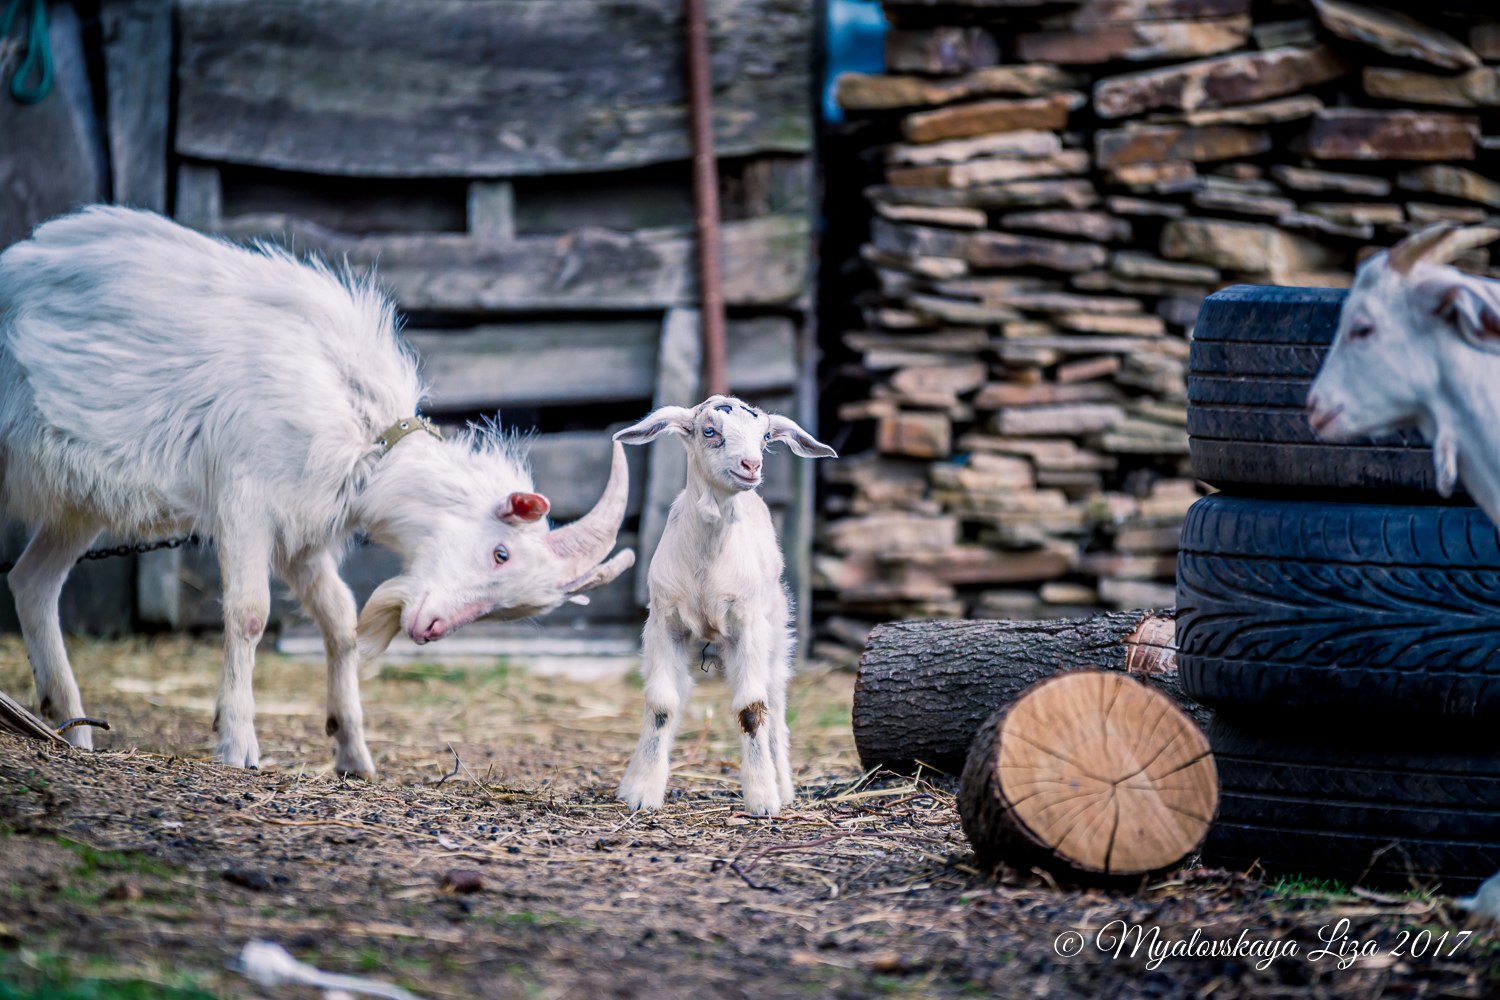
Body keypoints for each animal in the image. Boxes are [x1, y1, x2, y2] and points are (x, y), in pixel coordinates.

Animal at [0, 206, 634, 775]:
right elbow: (250, 614)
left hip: (77, 501)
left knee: (32, 582)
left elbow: (340, 618)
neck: (367, 430)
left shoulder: (302, 529)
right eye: (500, 552)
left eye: (509, 608)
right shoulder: (246, 499)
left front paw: (353, 752)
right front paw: (237, 744)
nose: (428, 631)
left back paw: (70, 728)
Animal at [612, 395, 836, 816]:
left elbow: (752, 708)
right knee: (678, 693)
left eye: (766, 437)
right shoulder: (664, 623)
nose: (751, 465)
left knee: (775, 701)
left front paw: (763, 798)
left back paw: (783, 786)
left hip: (776, 632)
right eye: (709, 430)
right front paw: (642, 793)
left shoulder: (747, 624)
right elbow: (662, 705)